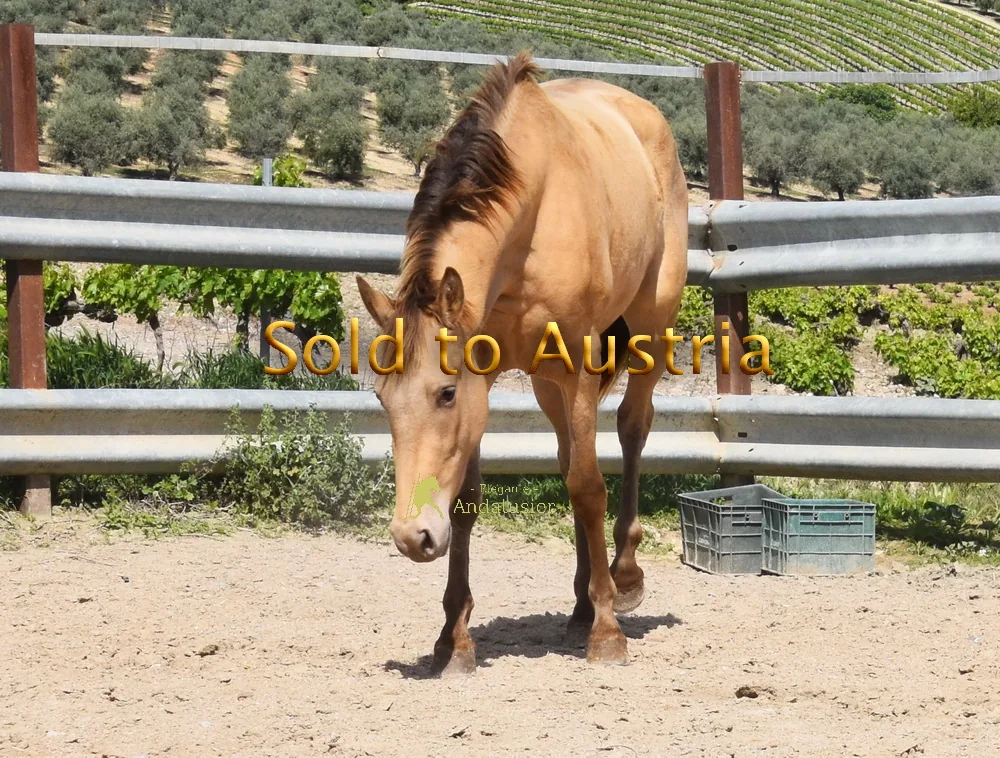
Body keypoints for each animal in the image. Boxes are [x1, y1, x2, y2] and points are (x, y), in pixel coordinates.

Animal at [357, 52, 688, 673]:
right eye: (383, 399)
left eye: (444, 393)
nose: (414, 538)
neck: (531, 207)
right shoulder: (488, 376)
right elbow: (470, 497)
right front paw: (454, 639)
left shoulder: (576, 363)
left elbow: (588, 485)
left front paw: (607, 632)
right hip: (544, 383)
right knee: (567, 453)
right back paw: (580, 604)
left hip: (650, 331)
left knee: (631, 429)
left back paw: (622, 579)